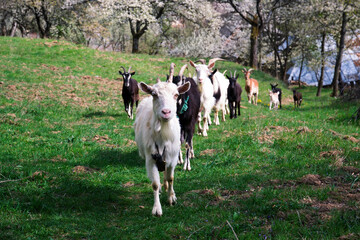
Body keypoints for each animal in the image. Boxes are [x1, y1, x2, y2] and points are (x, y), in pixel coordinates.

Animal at [134, 78, 191, 217]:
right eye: (154, 94)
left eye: (176, 95)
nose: (166, 112)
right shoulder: (150, 159)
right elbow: (154, 184)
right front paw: (157, 209)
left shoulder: (173, 158)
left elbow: (170, 178)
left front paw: (171, 198)